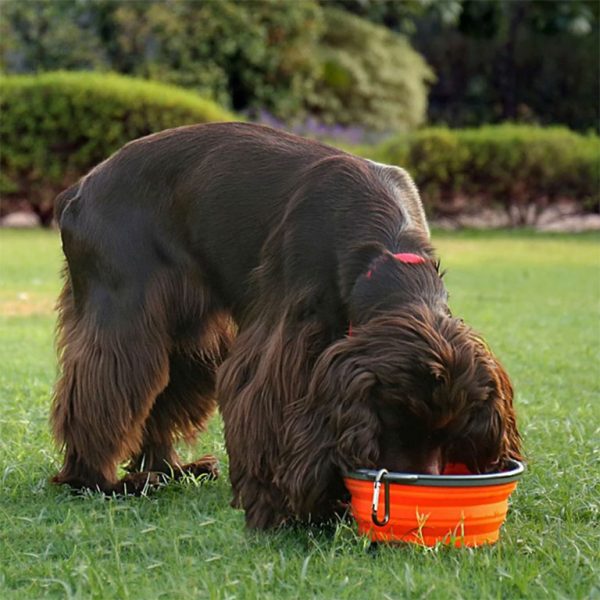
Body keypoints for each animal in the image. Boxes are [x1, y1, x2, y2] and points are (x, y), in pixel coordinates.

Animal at [51, 120, 520, 524]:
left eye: (449, 431)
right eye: (395, 420)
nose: (420, 487)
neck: (386, 250)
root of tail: (77, 191)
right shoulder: (287, 334)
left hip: (188, 329)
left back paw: (170, 470)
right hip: (126, 309)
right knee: (107, 386)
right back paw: (101, 482)